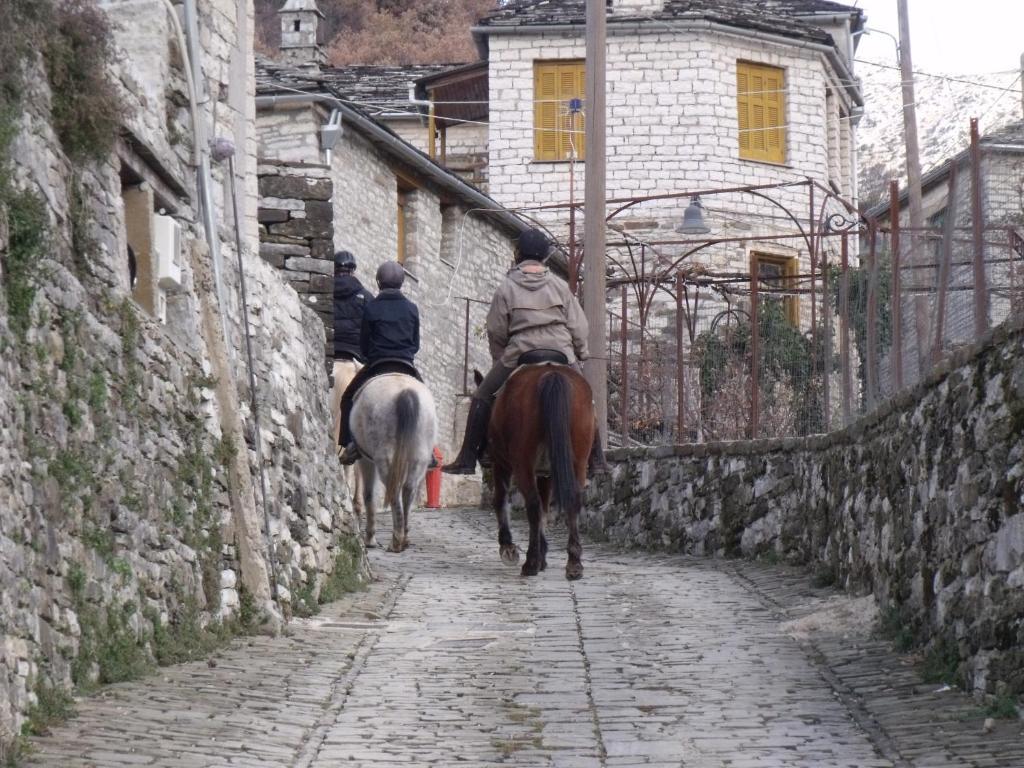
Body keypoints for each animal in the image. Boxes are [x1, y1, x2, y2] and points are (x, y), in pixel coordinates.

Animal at [352, 374, 436, 548]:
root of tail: (405, 392)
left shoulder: (365, 460)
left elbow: (369, 494)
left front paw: (370, 538)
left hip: (384, 458)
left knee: (394, 492)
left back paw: (396, 540)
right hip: (419, 457)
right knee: (409, 489)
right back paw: (404, 536)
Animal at [485, 364, 593, 581]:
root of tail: (552, 373)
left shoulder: (501, 463)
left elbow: (501, 499)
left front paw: (508, 547)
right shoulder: (546, 474)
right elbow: (545, 508)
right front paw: (543, 556)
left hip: (522, 463)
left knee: (532, 505)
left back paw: (531, 562)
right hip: (577, 461)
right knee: (572, 500)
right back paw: (574, 564)